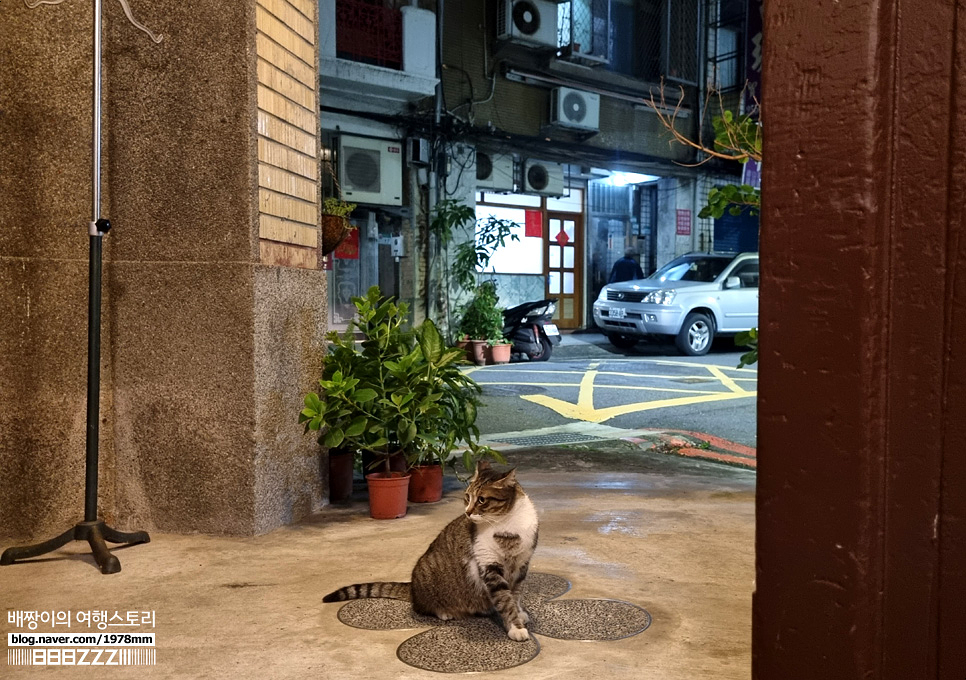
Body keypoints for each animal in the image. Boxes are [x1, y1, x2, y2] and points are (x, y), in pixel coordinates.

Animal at [324, 460, 536, 640]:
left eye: (482, 500)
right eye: (467, 497)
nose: (467, 512)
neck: (506, 523)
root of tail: (412, 587)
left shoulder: (522, 566)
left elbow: (515, 595)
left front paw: (519, 614)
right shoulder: (490, 566)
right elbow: (505, 600)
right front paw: (516, 628)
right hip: (428, 575)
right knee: (423, 607)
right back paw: (445, 612)